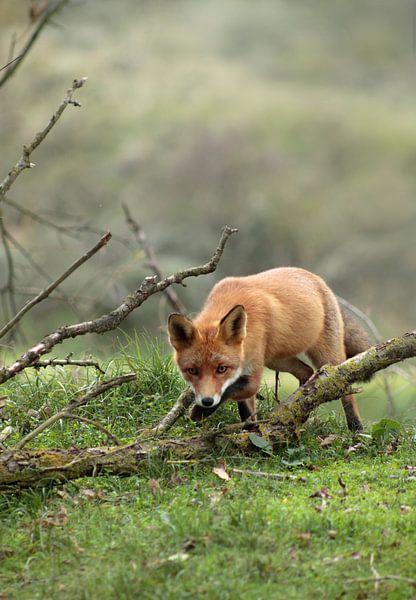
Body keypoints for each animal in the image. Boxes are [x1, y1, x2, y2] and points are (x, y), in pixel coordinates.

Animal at [167, 268, 368, 432]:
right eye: (193, 371)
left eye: (221, 369)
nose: (207, 401)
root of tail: (318, 280)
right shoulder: (244, 371)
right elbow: (246, 412)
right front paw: (249, 433)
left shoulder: (252, 376)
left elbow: (231, 390)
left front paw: (199, 412)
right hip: (277, 360)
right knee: (307, 371)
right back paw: (301, 406)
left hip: (327, 357)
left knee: (343, 386)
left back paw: (355, 427)